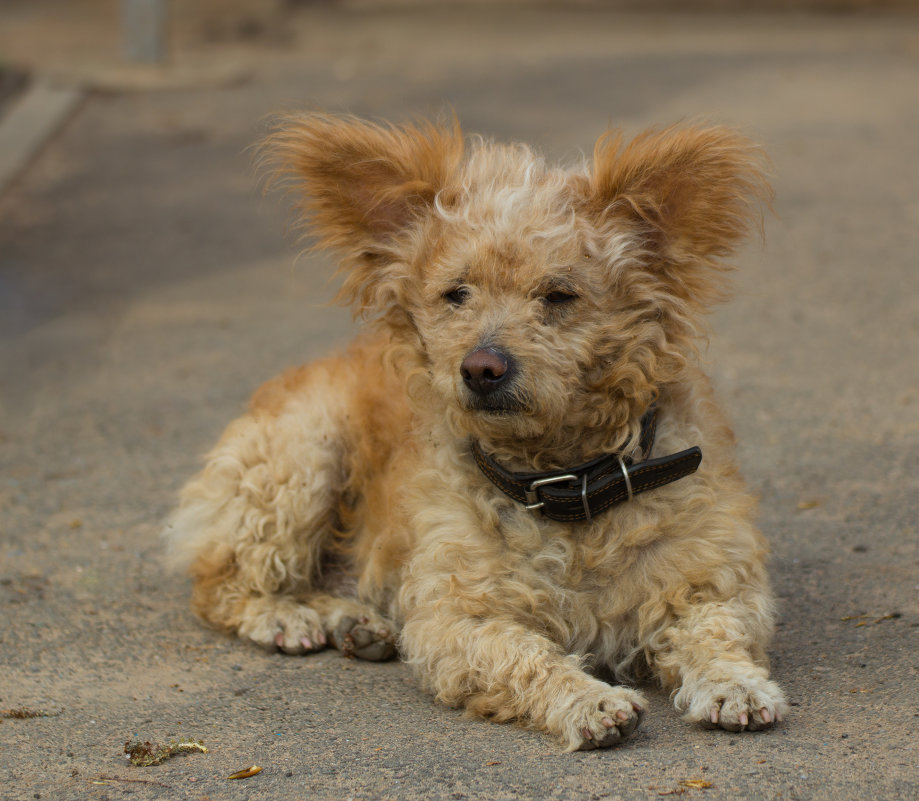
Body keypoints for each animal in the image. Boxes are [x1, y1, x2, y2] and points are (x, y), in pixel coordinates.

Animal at [171, 114, 792, 752]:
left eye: (559, 295)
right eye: (457, 294)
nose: (481, 367)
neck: (566, 484)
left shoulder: (713, 583)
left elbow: (715, 634)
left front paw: (735, 685)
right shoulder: (455, 619)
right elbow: (525, 656)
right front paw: (587, 699)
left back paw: (355, 622)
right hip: (300, 462)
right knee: (218, 584)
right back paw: (288, 615)